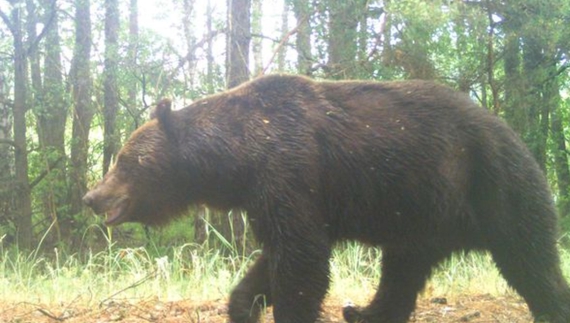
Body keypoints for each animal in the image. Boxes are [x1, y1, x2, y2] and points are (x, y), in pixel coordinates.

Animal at [82, 74, 568, 322]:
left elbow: (301, 262)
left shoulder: (291, 170)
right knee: (401, 273)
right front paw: (243, 306)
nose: (91, 196)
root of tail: (516, 137)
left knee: (531, 260)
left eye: (125, 161)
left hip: (496, 188)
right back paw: (363, 312)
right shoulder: (266, 195)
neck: (239, 155)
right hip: (422, 218)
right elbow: (275, 257)